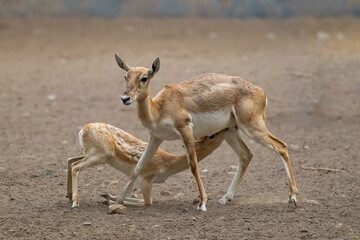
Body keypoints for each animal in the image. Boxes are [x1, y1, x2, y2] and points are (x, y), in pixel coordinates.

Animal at [66, 123, 226, 209]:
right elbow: (148, 202)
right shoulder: (145, 180)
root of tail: (83, 130)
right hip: (98, 157)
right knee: (75, 167)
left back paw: (69, 196)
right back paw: (75, 203)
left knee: (70, 160)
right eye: (212, 135)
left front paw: (108, 196)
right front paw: (110, 200)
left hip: (92, 156)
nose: (224, 128)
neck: (167, 163)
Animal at [114, 54, 298, 210]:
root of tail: (260, 91)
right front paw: (117, 201)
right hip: (231, 131)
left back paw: (293, 197)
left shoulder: (185, 131)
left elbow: (194, 166)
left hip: (253, 128)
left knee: (281, 146)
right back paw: (225, 198)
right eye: (126, 76)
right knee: (246, 155)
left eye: (144, 78)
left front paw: (202, 203)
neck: (159, 108)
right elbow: (138, 168)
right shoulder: (155, 138)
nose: (125, 98)